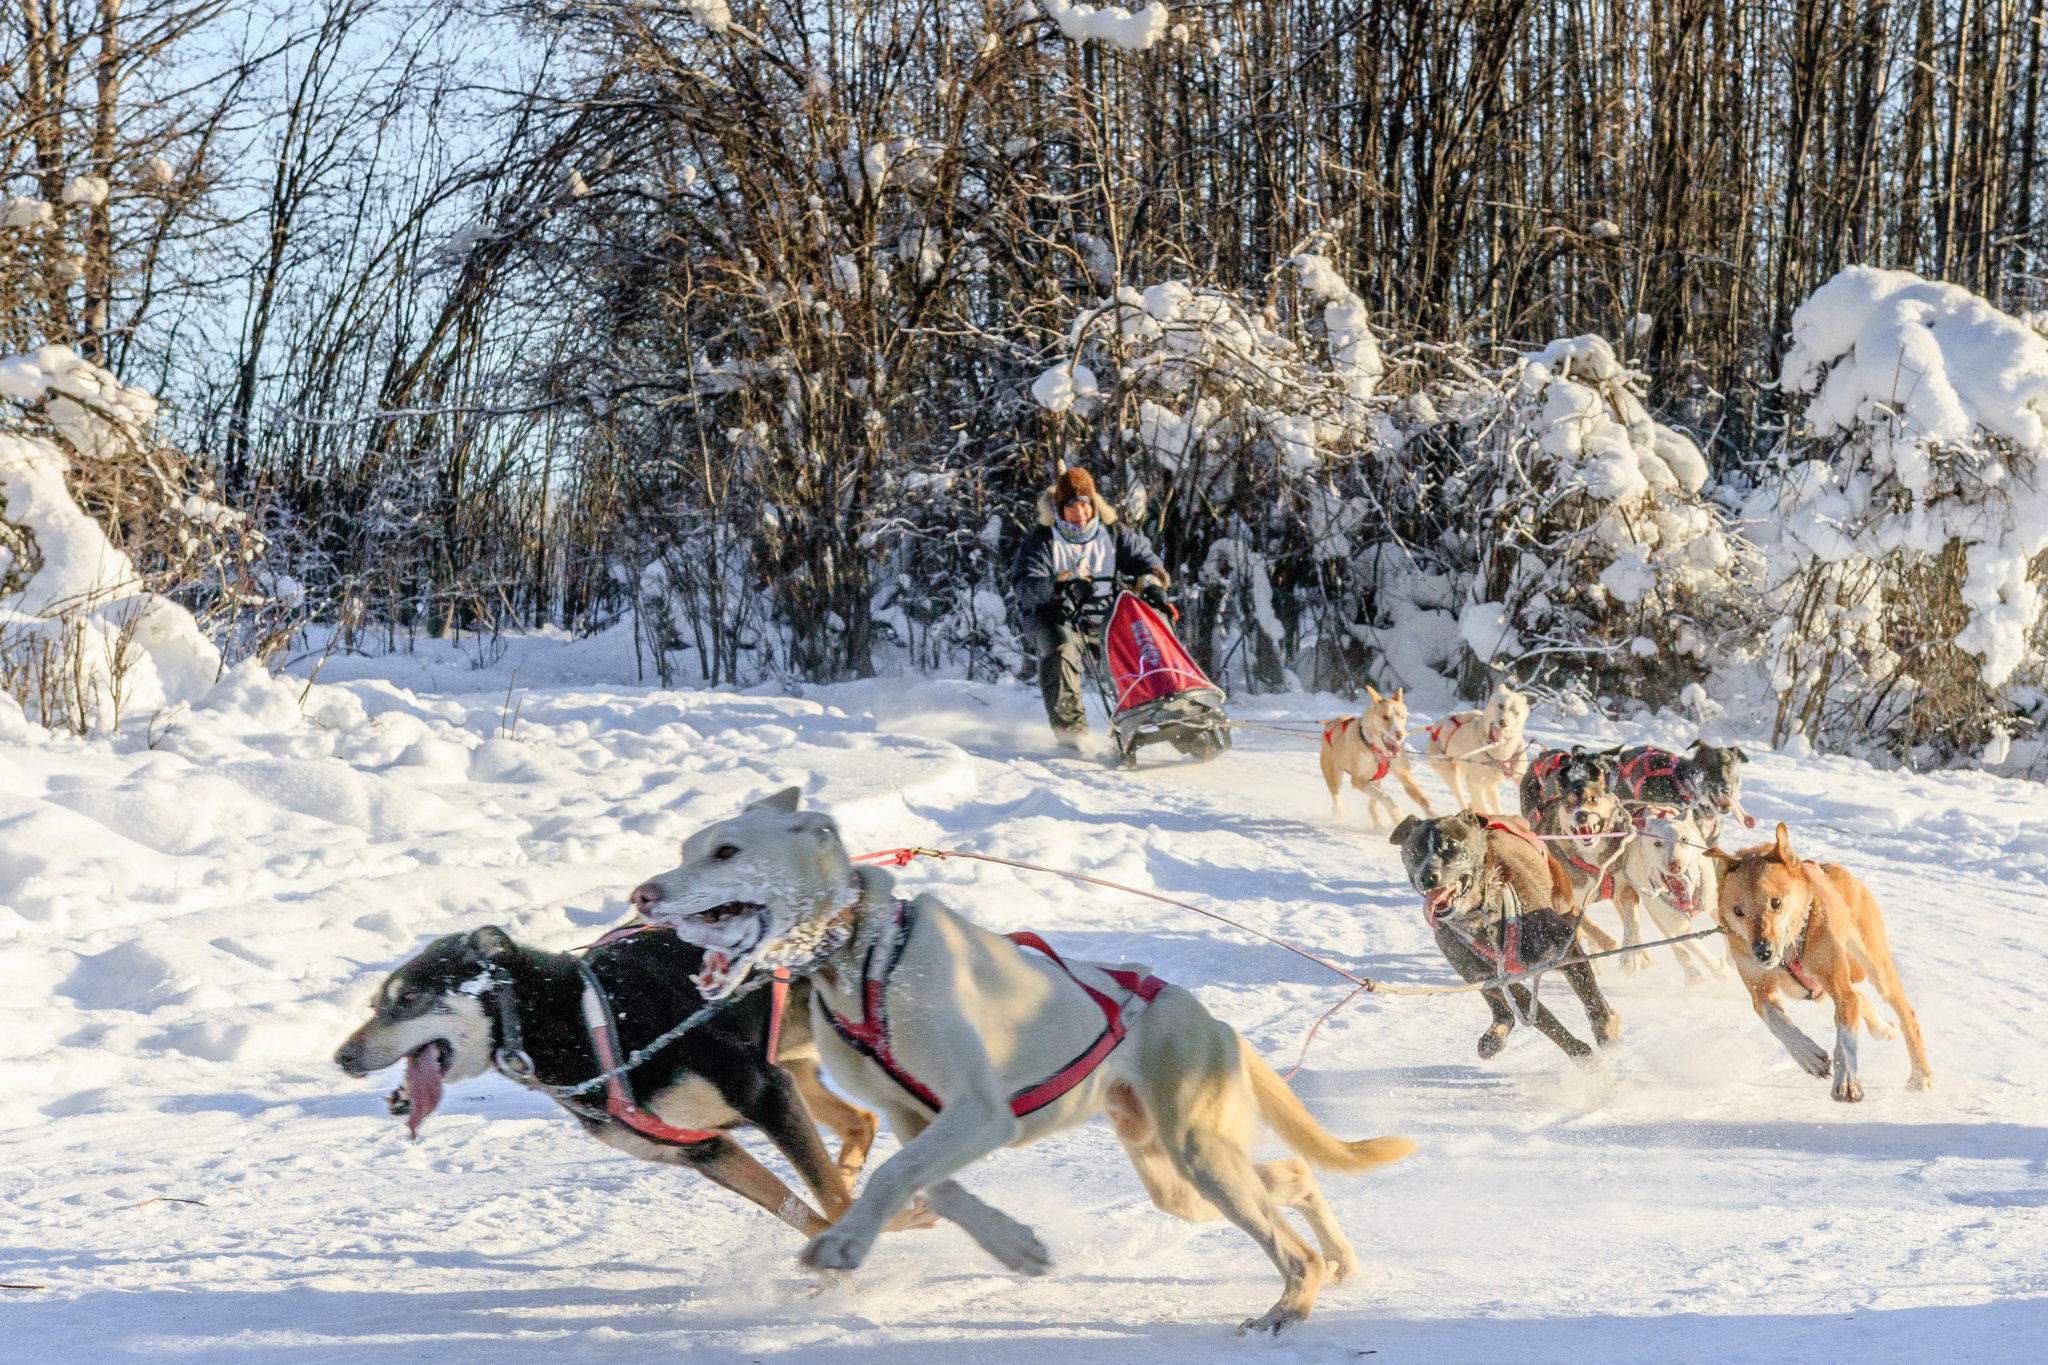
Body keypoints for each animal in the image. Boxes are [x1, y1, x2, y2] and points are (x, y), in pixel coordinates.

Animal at [339, 929, 917, 1236]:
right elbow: (806, 1214)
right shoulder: (705, 1149)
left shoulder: (764, 1093)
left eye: (408, 999)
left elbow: (826, 1201)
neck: (581, 1020)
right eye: (373, 1005)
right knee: (862, 1121)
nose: (341, 1057)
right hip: (795, 1061)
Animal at [630, 789, 1417, 1334]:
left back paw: (1291, 1304)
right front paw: (1012, 1245)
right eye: (685, 847)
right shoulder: (919, 1119)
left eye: (726, 852)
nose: (642, 893)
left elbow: (890, 1175)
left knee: (1288, 1240)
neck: (863, 957)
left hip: (1200, 1157)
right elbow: (932, 1185)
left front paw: (847, 1240)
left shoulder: (979, 1113)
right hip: (1179, 1177)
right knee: (1295, 1173)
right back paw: (1336, 1260)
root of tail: (1204, 1014)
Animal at [1392, 810, 1613, 1064]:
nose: (1428, 876)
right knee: (1501, 1008)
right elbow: (1545, 1022)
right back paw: (1495, 1033)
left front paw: (1606, 1034)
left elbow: (1593, 1002)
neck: (1484, 916)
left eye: (1452, 845)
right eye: (1416, 850)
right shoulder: (1495, 978)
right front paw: (1582, 1055)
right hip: (1474, 974)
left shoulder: (1565, 948)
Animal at [1433, 679, 1531, 810]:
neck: (1500, 755)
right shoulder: (1474, 784)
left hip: (1490, 784)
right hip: (1451, 774)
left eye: (1516, 713)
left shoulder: (1520, 775)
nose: (1503, 722)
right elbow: (1483, 807)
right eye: (1501, 705)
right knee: (1463, 799)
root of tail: (1436, 725)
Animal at [1712, 822, 1933, 1096]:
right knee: (1860, 999)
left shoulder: (1839, 987)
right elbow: (1777, 1021)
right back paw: (1882, 1029)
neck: (1790, 950)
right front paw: (1808, 1055)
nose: (1762, 951)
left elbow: (1846, 1031)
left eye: (1776, 902)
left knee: (1904, 1013)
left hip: (1876, 969)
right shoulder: (1760, 991)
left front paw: (1846, 1078)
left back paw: (1921, 1074)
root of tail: (1838, 871)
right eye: (1738, 911)